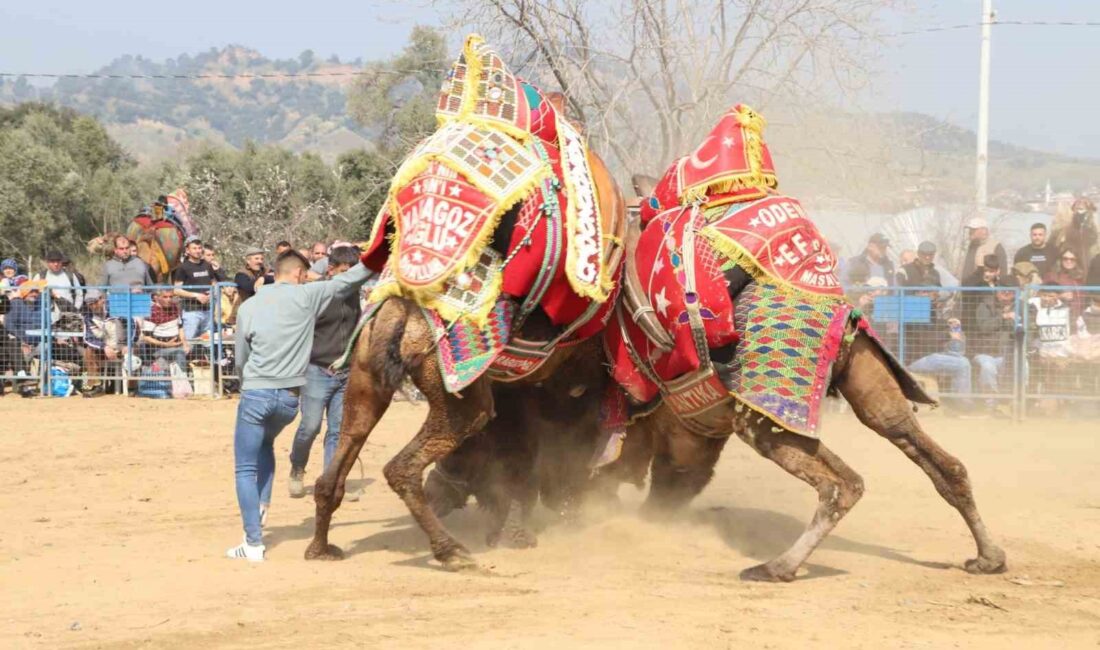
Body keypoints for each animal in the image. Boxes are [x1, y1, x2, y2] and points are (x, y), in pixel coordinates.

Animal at [305, 35, 624, 571]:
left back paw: (321, 546)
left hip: (365, 377)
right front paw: (522, 528)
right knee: (404, 465)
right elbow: (532, 456)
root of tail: (403, 316)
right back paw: (453, 550)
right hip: (454, 391)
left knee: (334, 470)